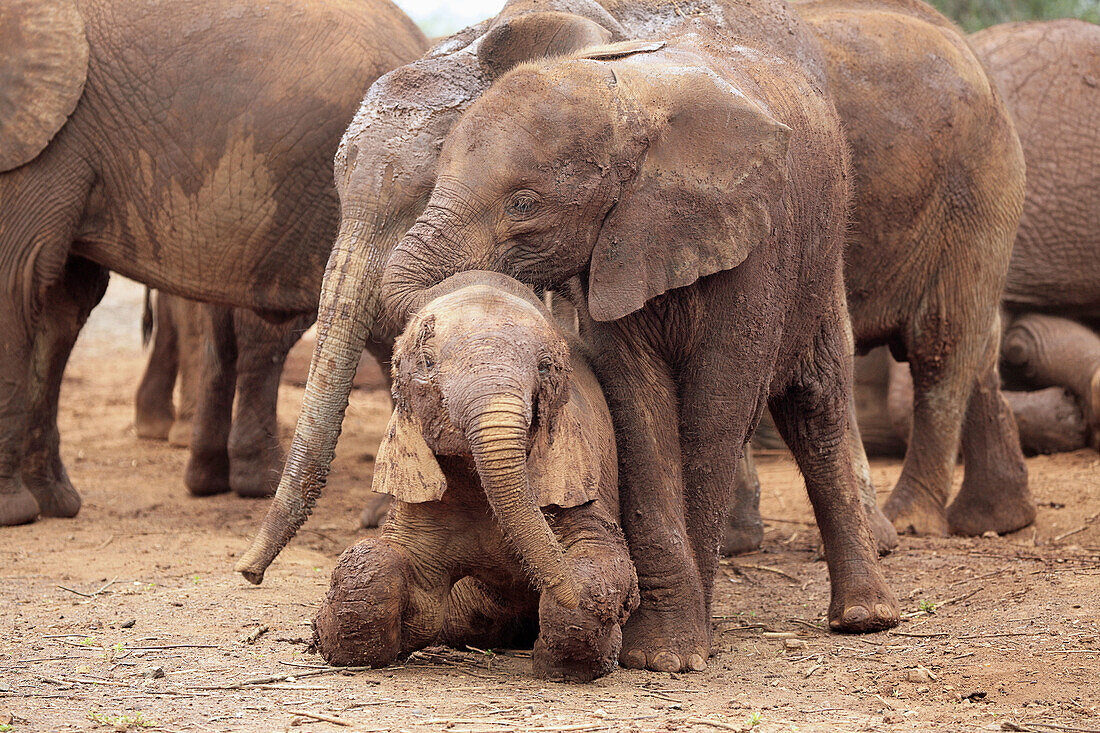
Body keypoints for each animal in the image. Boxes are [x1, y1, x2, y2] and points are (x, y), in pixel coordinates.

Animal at [312, 269, 638, 677]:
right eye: (427, 363)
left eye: (545, 366)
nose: (559, 586)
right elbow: (393, 576)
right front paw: (325, 637)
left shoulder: (574, 473)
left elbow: (602, 556)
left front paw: (567, 658)